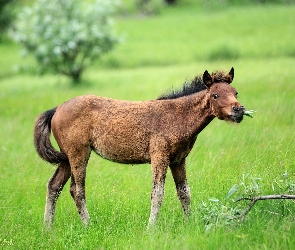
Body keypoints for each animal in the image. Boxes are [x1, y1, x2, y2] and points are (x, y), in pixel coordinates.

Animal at [33, 67, 246, 228]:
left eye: (235, 92)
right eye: (215, 95)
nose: (239, 110)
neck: (177, 117)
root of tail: (57, 109)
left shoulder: (178, 160)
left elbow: (184, 192)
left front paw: (190, 224)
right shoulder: (159, 157)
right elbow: (158, 193)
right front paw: (150, 228)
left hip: (66, 157)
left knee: (54, 186)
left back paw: (47, 228)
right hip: (79, 154)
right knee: (76, 190)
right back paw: (88, 225)